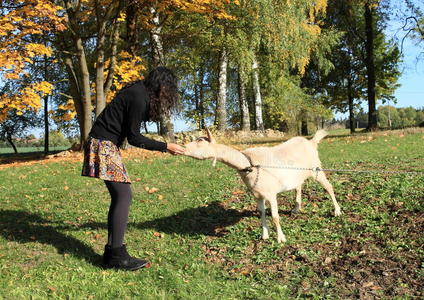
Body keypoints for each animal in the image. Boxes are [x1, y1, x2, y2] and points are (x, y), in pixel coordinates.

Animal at [183, 127, 342, 243]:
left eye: (200, 141)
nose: (183, 148)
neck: (249, 163)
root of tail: (311, 142)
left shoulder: (271, 194)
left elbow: (275, 216)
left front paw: (281, 238)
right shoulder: (258, 195)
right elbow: (261, 213)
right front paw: (264, 235)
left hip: (316, 169)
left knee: (328, 187)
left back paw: (337, 211)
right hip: (297, 175)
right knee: (298, 186)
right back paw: (296, 208)